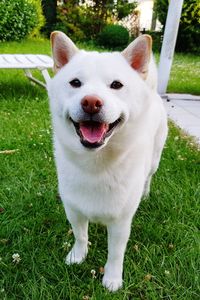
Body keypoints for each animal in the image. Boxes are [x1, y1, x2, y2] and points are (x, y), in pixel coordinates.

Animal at [47, 31, 167, 292]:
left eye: (116, 85)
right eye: (75, 83)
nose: (91, 102)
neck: (95, 165)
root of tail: (152, 92)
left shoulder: (121, 222)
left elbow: (115, 254)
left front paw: (112, 279)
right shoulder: (73, 209)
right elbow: (80, 236)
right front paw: (77, 257)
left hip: (154, 160)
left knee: (149, 177)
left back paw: (146, 193)